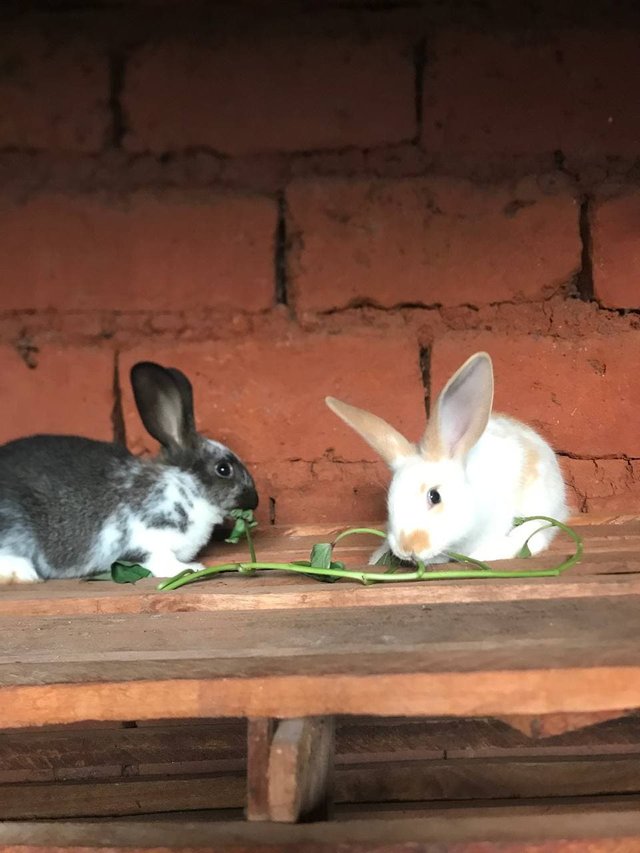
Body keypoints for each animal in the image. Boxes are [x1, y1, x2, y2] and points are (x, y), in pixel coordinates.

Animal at [0, 360, 258, 580]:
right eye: (223, 469)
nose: (254, 501)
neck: (185, 487)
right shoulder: (148, 541)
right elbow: (160, 561)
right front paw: (192, 568)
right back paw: (23, 574)